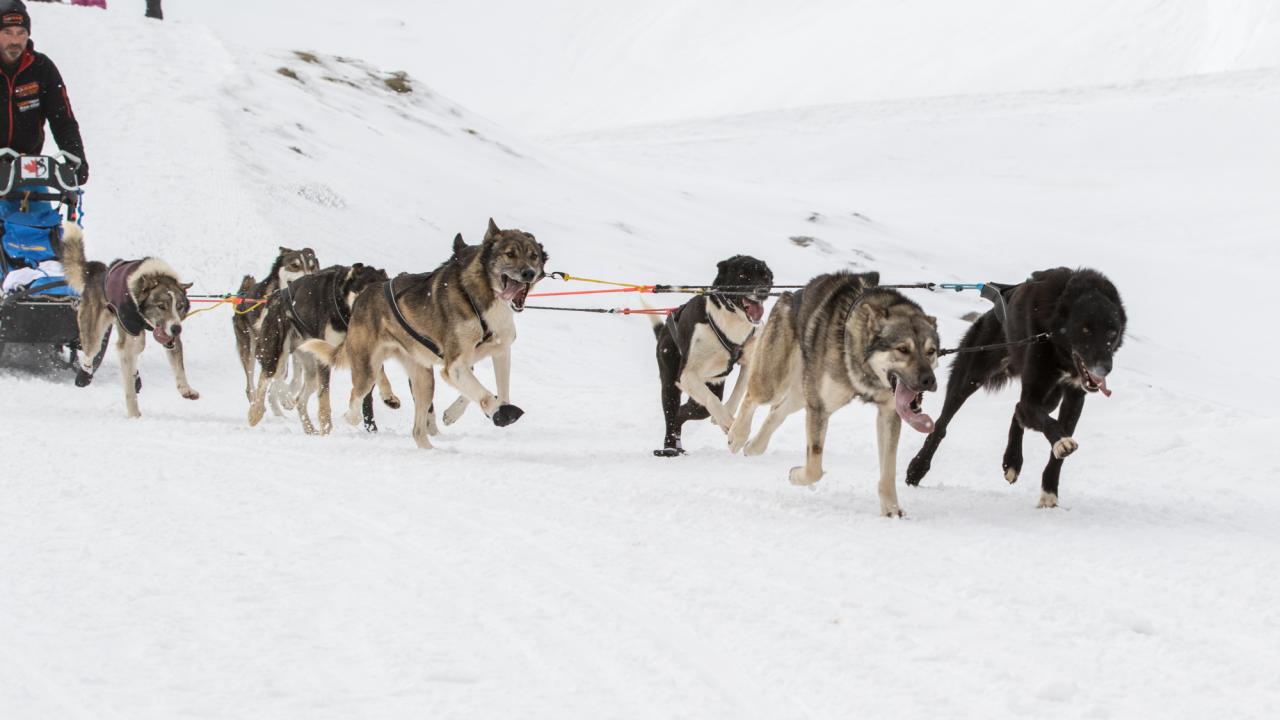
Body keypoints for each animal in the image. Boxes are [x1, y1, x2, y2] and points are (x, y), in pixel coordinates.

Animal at [650, 253, 768, 453]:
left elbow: (738, 392)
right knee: (673, 414)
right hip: (671, 383)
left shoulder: (748, 362)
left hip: (704, 393)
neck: (729, 321)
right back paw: (670, 449)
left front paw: (734, 427)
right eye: (743, 276)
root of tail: (664, 329)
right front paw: (727, 422)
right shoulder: (687, 375)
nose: (763, 292)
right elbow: (712, 400)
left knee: (683, 413)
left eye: (765, 276)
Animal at [906, 263, 1126, 504]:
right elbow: (1045, 421)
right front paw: (1061, 441)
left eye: (1112, 332)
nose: (1105, 367)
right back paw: (917, 468)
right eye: (1085, 330)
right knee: (942, 423)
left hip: (1051, 396)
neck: (1054, 338)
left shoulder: (1074, 397)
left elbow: (1053, 444)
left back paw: (1012, 461)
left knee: (1018, 411)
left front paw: (1049, 491)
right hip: (970, 377)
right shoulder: (1034, 393)